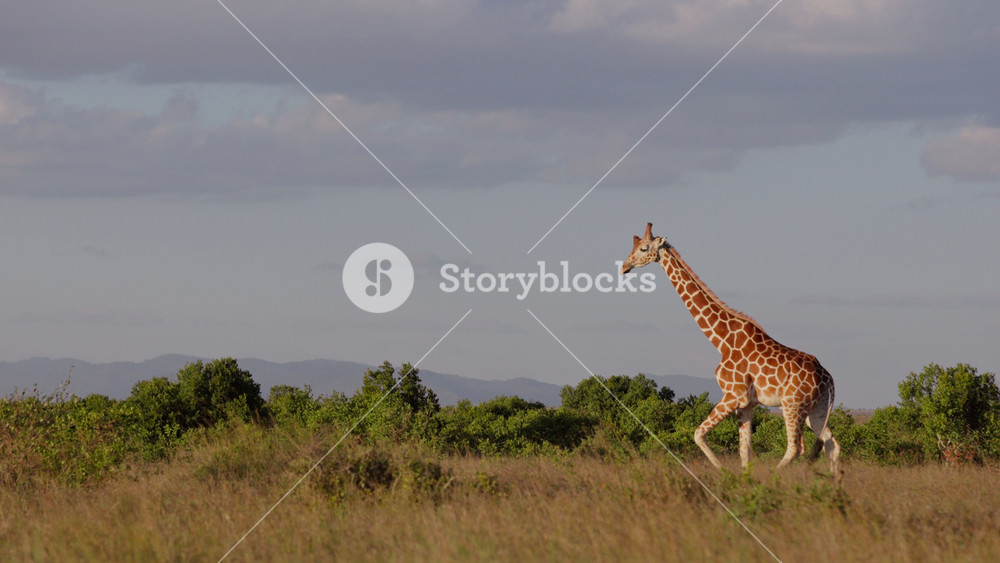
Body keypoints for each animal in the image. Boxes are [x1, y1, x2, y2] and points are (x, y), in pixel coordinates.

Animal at [621, 223, 841, 481]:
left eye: (644, 248)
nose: (624, 267)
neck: (722, 340)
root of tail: (828, 378)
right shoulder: (747, 404)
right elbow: (744, 451)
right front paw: (744, 479)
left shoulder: (733, 395)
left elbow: (698, 434)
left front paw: (724, 471)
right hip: (816, 408)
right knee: (831, 444)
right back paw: (833, 485)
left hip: (792, 404)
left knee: (796, 448)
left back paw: (775, 477)